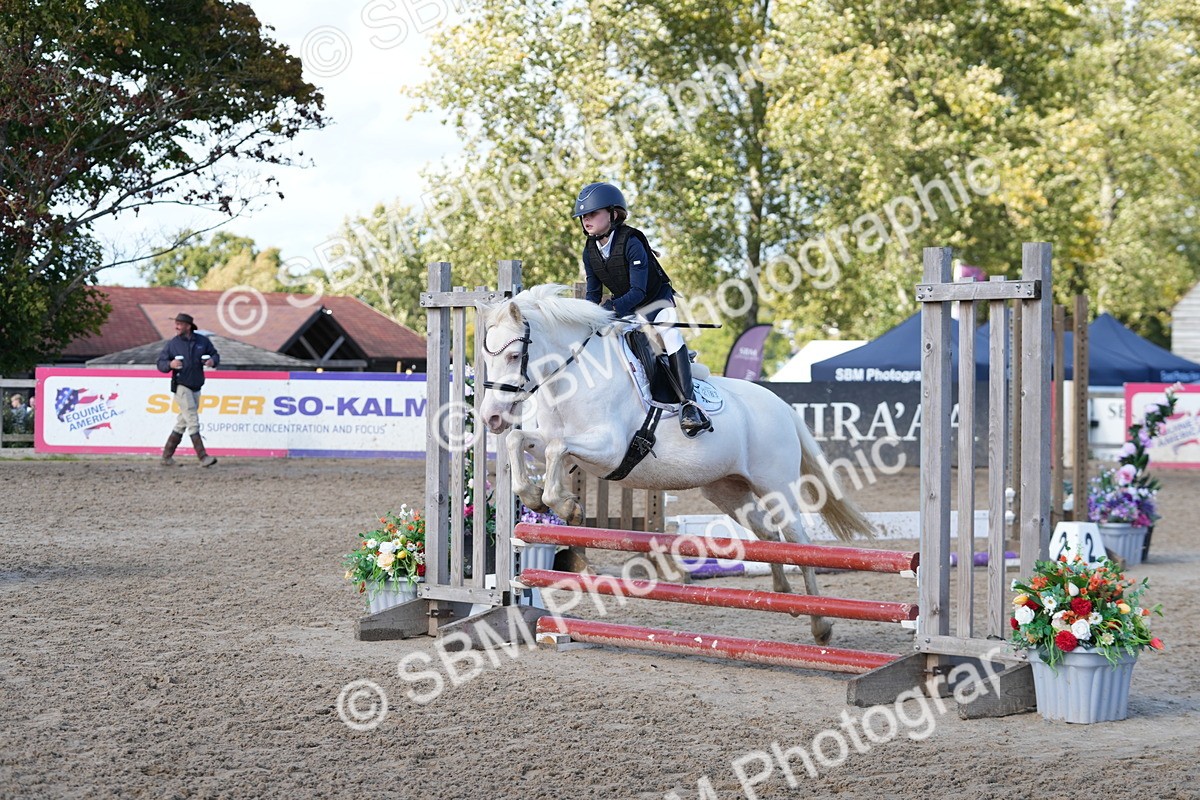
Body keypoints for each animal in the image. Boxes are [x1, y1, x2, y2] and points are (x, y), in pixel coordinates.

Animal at [478, 284, 874, 644]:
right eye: (488, 356)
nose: (491, 417)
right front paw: (537, 498)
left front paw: (564, 505)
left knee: (798, 541)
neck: (574, 378)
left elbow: (557, 451)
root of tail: (781, 406)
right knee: (767, 535)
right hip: (727, 491)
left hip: (776, 487)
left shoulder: (608, 450)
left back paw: (820, 624)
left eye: (514, 355)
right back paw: (783, 596)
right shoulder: (554, 441)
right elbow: (522, 442)